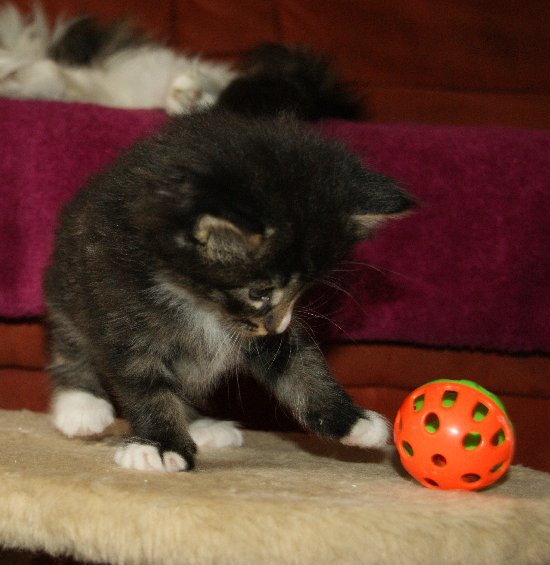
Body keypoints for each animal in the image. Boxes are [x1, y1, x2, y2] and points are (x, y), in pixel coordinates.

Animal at [43, 110, 414, 472]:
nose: (277, 326)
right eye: (259, 292)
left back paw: (201, 426)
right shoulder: (121, 309)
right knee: (70, 342)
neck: (196, 299)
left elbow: (299, 367)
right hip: (67, 288)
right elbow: (147, 387)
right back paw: (81, 404)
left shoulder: (263, 337)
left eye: (302, 290)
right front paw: (161, 445)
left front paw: (351, 421)